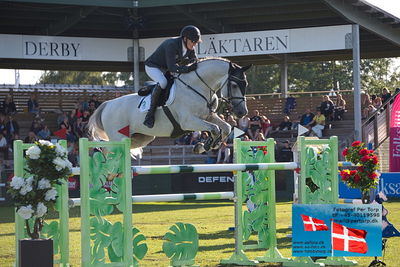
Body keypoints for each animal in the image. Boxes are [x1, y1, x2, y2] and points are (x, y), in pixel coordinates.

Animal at [88, 57, 250, 156]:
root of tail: (107, 104)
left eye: (245, 84)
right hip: (118, 136)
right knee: (108, 150)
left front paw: (205, 146)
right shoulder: (188, 121)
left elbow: (226, 127)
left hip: (141, 138)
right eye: (234, 85)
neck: (197, 86)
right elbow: (215, 129)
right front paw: (206, 145)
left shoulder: (208, 116)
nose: (242, 112)